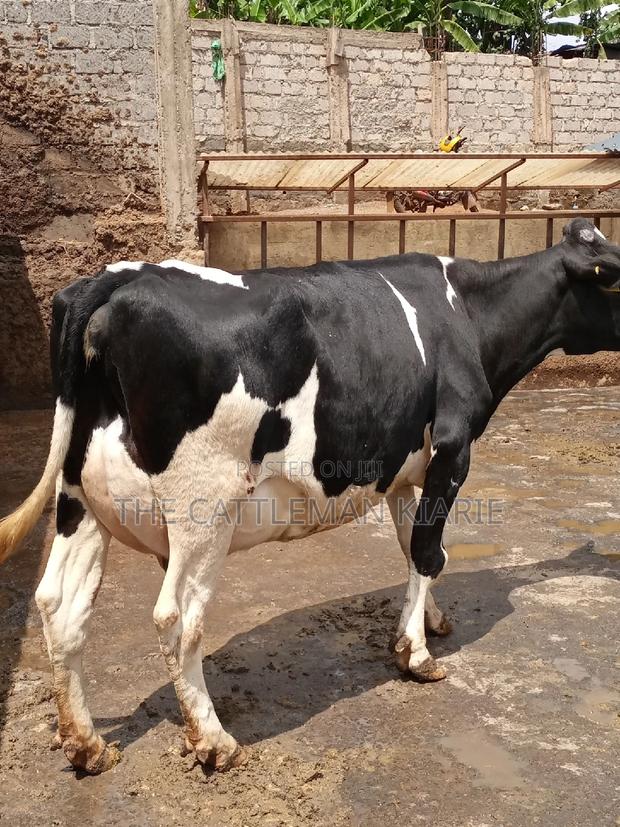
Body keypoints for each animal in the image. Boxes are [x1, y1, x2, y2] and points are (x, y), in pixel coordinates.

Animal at [0, 218, 618, 775]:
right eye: (613, 278)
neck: (467, 313)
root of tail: (112, 279)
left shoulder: (399, 468)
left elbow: (411, 544)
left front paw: (427, 621)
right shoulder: (453, 448)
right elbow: (428, 551)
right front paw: (417, 655)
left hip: (81, 500)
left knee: (60, 605)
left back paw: (85, 744)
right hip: (204, 506)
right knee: (177, 617)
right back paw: (213, 741)